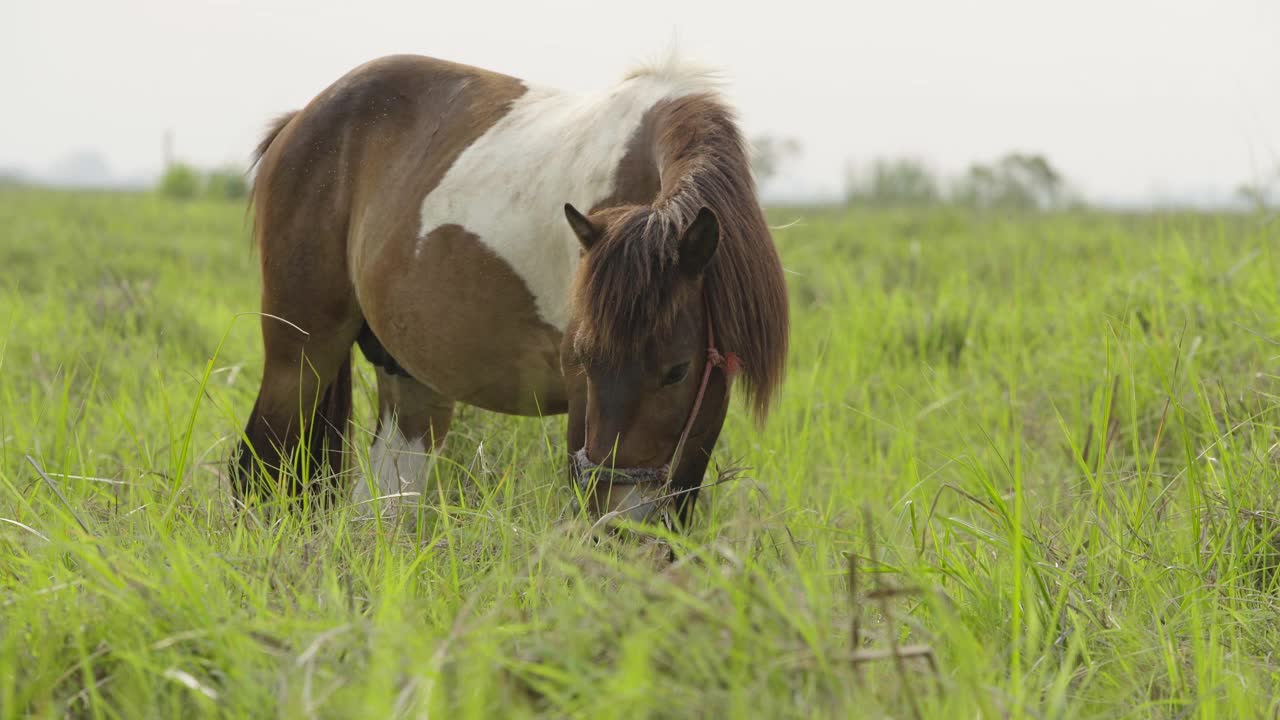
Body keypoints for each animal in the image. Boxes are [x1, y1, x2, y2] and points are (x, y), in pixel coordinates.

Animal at [231, 53, 788, 527]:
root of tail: (301, 120)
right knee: (256, 465)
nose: (617, 518)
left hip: (409, 382)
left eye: (677, 371)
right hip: (300, 358)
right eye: (586, 359)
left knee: (385, 501)